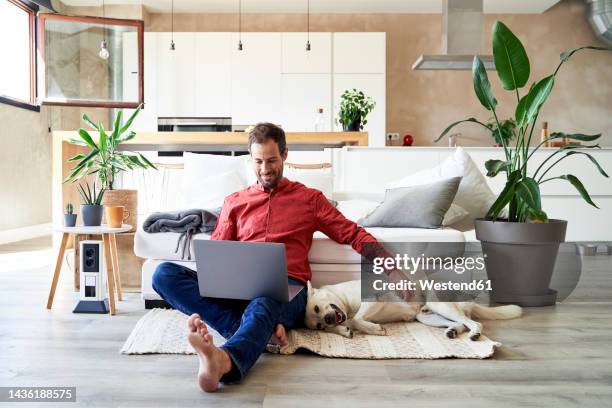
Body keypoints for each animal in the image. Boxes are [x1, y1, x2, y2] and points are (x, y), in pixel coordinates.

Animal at [304, 280, 520, 342]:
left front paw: (374, 329)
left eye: (317, 307)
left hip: (439, 305)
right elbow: (348, 323)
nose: (328, 319)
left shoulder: (372, 298)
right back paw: (452, 332)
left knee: (474, 322)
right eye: (319, 325)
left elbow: (357, 319)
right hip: (427, 317)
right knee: (460, 323)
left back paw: (475, 333)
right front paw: (343, 330)